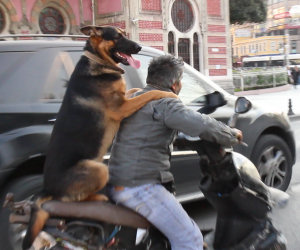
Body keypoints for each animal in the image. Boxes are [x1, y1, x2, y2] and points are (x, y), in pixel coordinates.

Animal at [22, 25, 178, 248]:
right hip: (99, 169)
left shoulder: (123, 100)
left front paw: (141, 87)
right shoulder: (121, 108)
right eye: (117, 36)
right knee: (71, 201)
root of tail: (46, 188)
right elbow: (149, 94)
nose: (139, 47)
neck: (98, 61)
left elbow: (135, 90)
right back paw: (99, 199)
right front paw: (167, 93)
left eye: (124, 34)